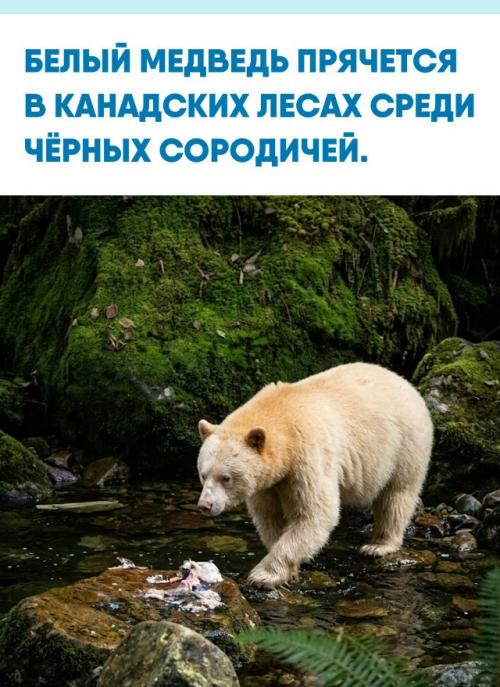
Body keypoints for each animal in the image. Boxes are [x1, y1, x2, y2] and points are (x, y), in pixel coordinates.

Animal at [196, 362, 433, 589]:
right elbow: (270, 517)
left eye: (226, 477)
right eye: (203, 475)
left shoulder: (307, 457)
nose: (205, 505)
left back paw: (378, 545)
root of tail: (406, 383)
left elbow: (315, 514)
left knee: (396, 495)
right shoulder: (268, 483)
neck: (284, 420)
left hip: (405, 444)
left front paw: (263, 576)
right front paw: (289, 572)